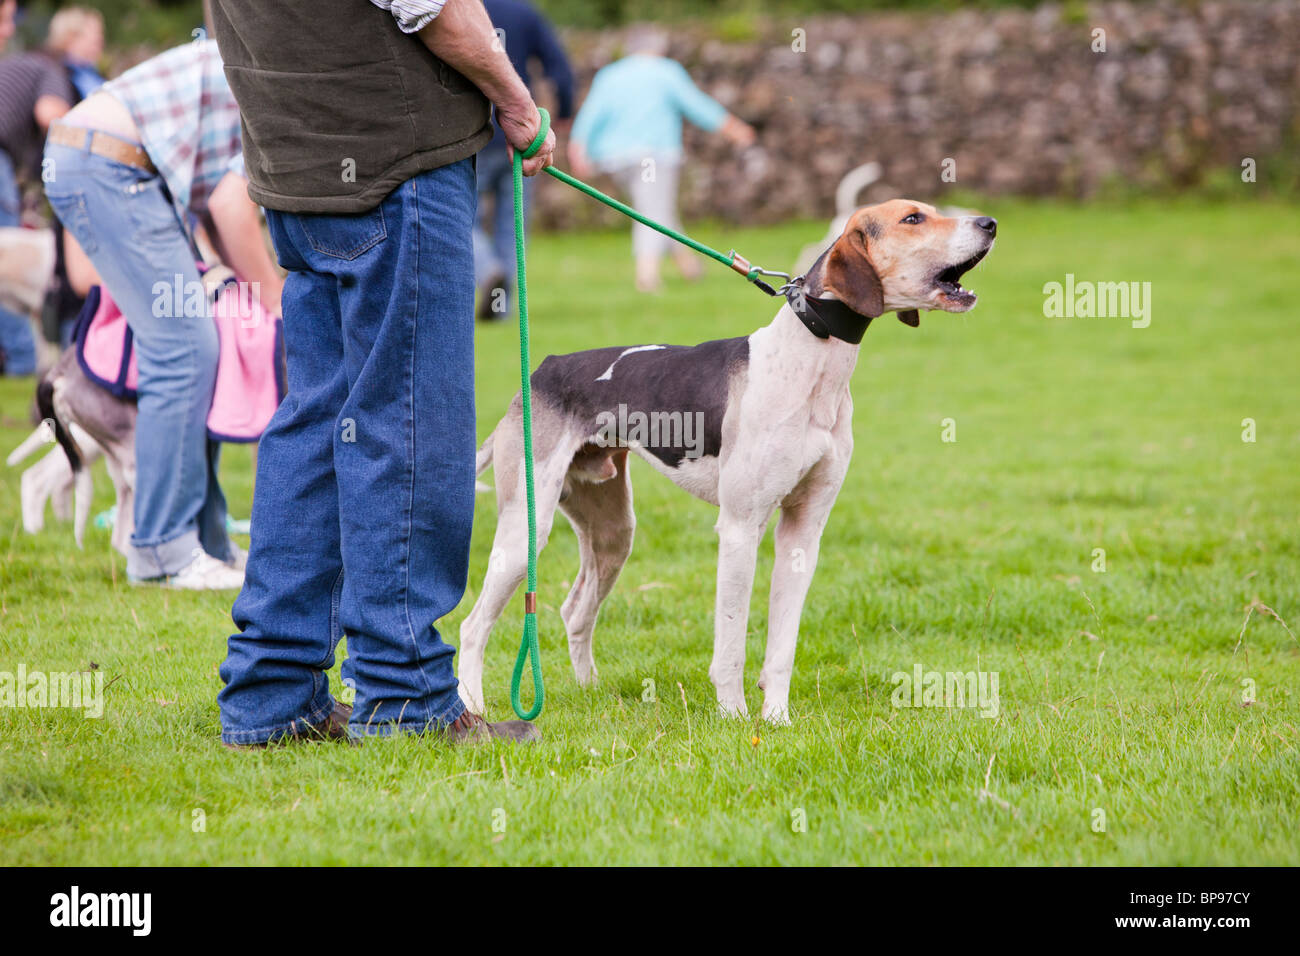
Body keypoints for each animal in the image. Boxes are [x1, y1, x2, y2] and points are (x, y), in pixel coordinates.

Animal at [460, 201, 993, 723]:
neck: (813, 355)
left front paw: (776, 719)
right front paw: (734, 717)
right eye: (913, 218)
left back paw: (591, 692)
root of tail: (539, 373)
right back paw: (473, 707)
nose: (989, 222)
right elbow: (732, 643)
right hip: (525, 531)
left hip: (613, 533)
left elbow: (781, 647)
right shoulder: (740, 528)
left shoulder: (803, 532)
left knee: (575, 611)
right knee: (472, 624)